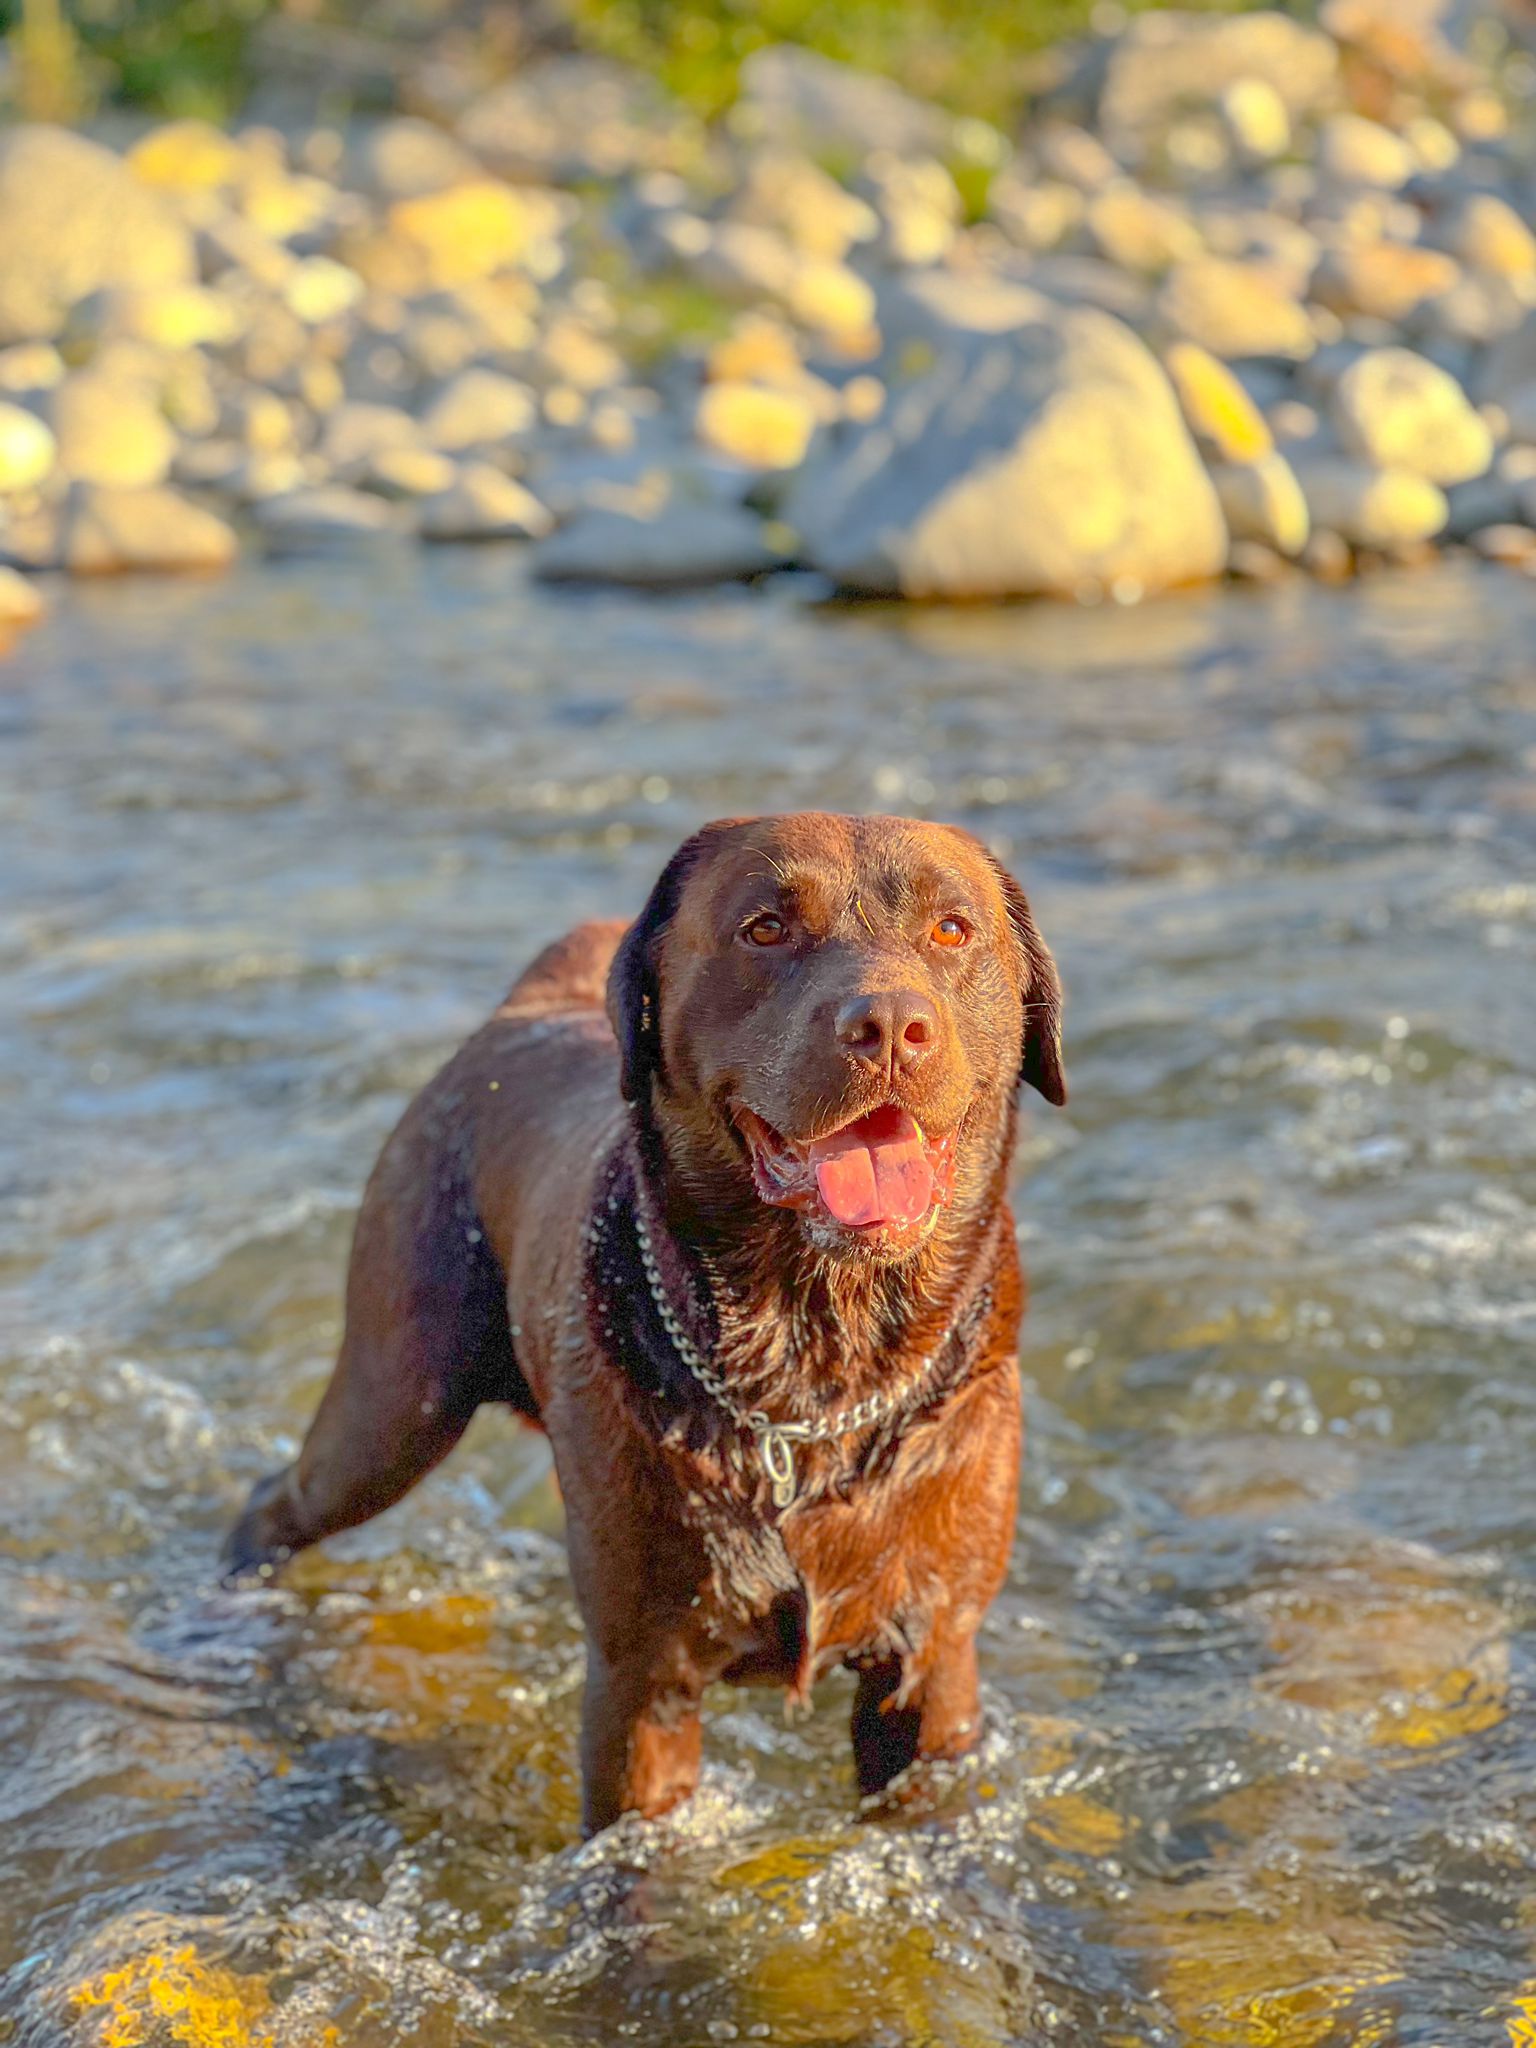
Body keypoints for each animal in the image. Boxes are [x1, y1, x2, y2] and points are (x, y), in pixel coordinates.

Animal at [228, 806, 1064, 1835]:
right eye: (765, 929)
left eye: (952, 930)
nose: (890, 1029)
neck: (813, 1369)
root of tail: (526, 1007)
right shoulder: (641, 1685)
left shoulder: (932, 1664)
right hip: (394, 1399)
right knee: (282, 1498)